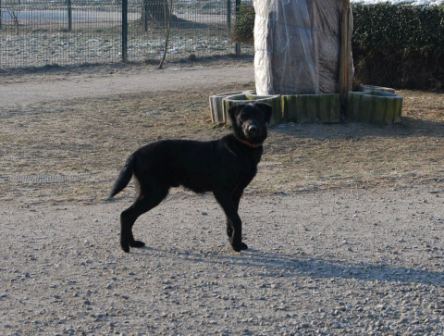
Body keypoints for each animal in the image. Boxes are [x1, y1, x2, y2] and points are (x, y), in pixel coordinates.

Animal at [109, 102, 272, 252]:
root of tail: (135, 153)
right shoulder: (222, 192)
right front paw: (236, 245)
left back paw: (133, 243)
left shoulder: (236, 192)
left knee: (130, 216)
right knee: (126, 215)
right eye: (242, 117)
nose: (252, 129)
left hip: (147, 192)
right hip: (154, 193)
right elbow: (236, 219)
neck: (242, 147)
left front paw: (232, 239)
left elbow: (231, 218)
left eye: (258, 115)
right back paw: (125, 246)